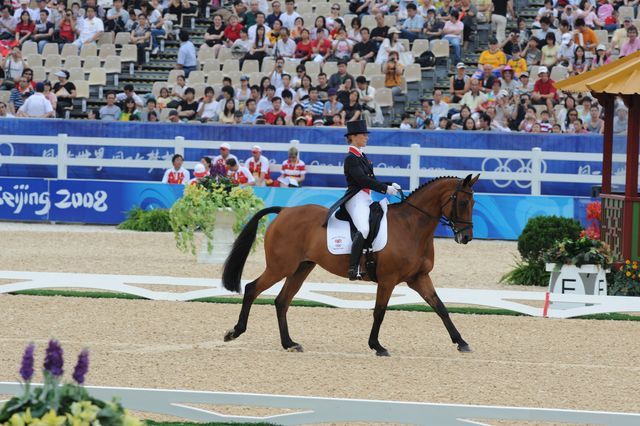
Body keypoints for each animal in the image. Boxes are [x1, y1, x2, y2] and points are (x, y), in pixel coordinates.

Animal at [222, 174, 478, 356]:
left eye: (474, 202)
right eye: (463, 202)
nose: (466, 237)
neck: (411, 226)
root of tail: (284, 211)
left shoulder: (419, 277)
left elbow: (440, 307)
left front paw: (462, 342)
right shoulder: (388, 279)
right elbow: (380, 311)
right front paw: (377, 346)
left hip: (302, 267)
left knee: (282, 301)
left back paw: (289, 344)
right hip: (280, 267)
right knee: (252, 289)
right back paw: (235, 332)